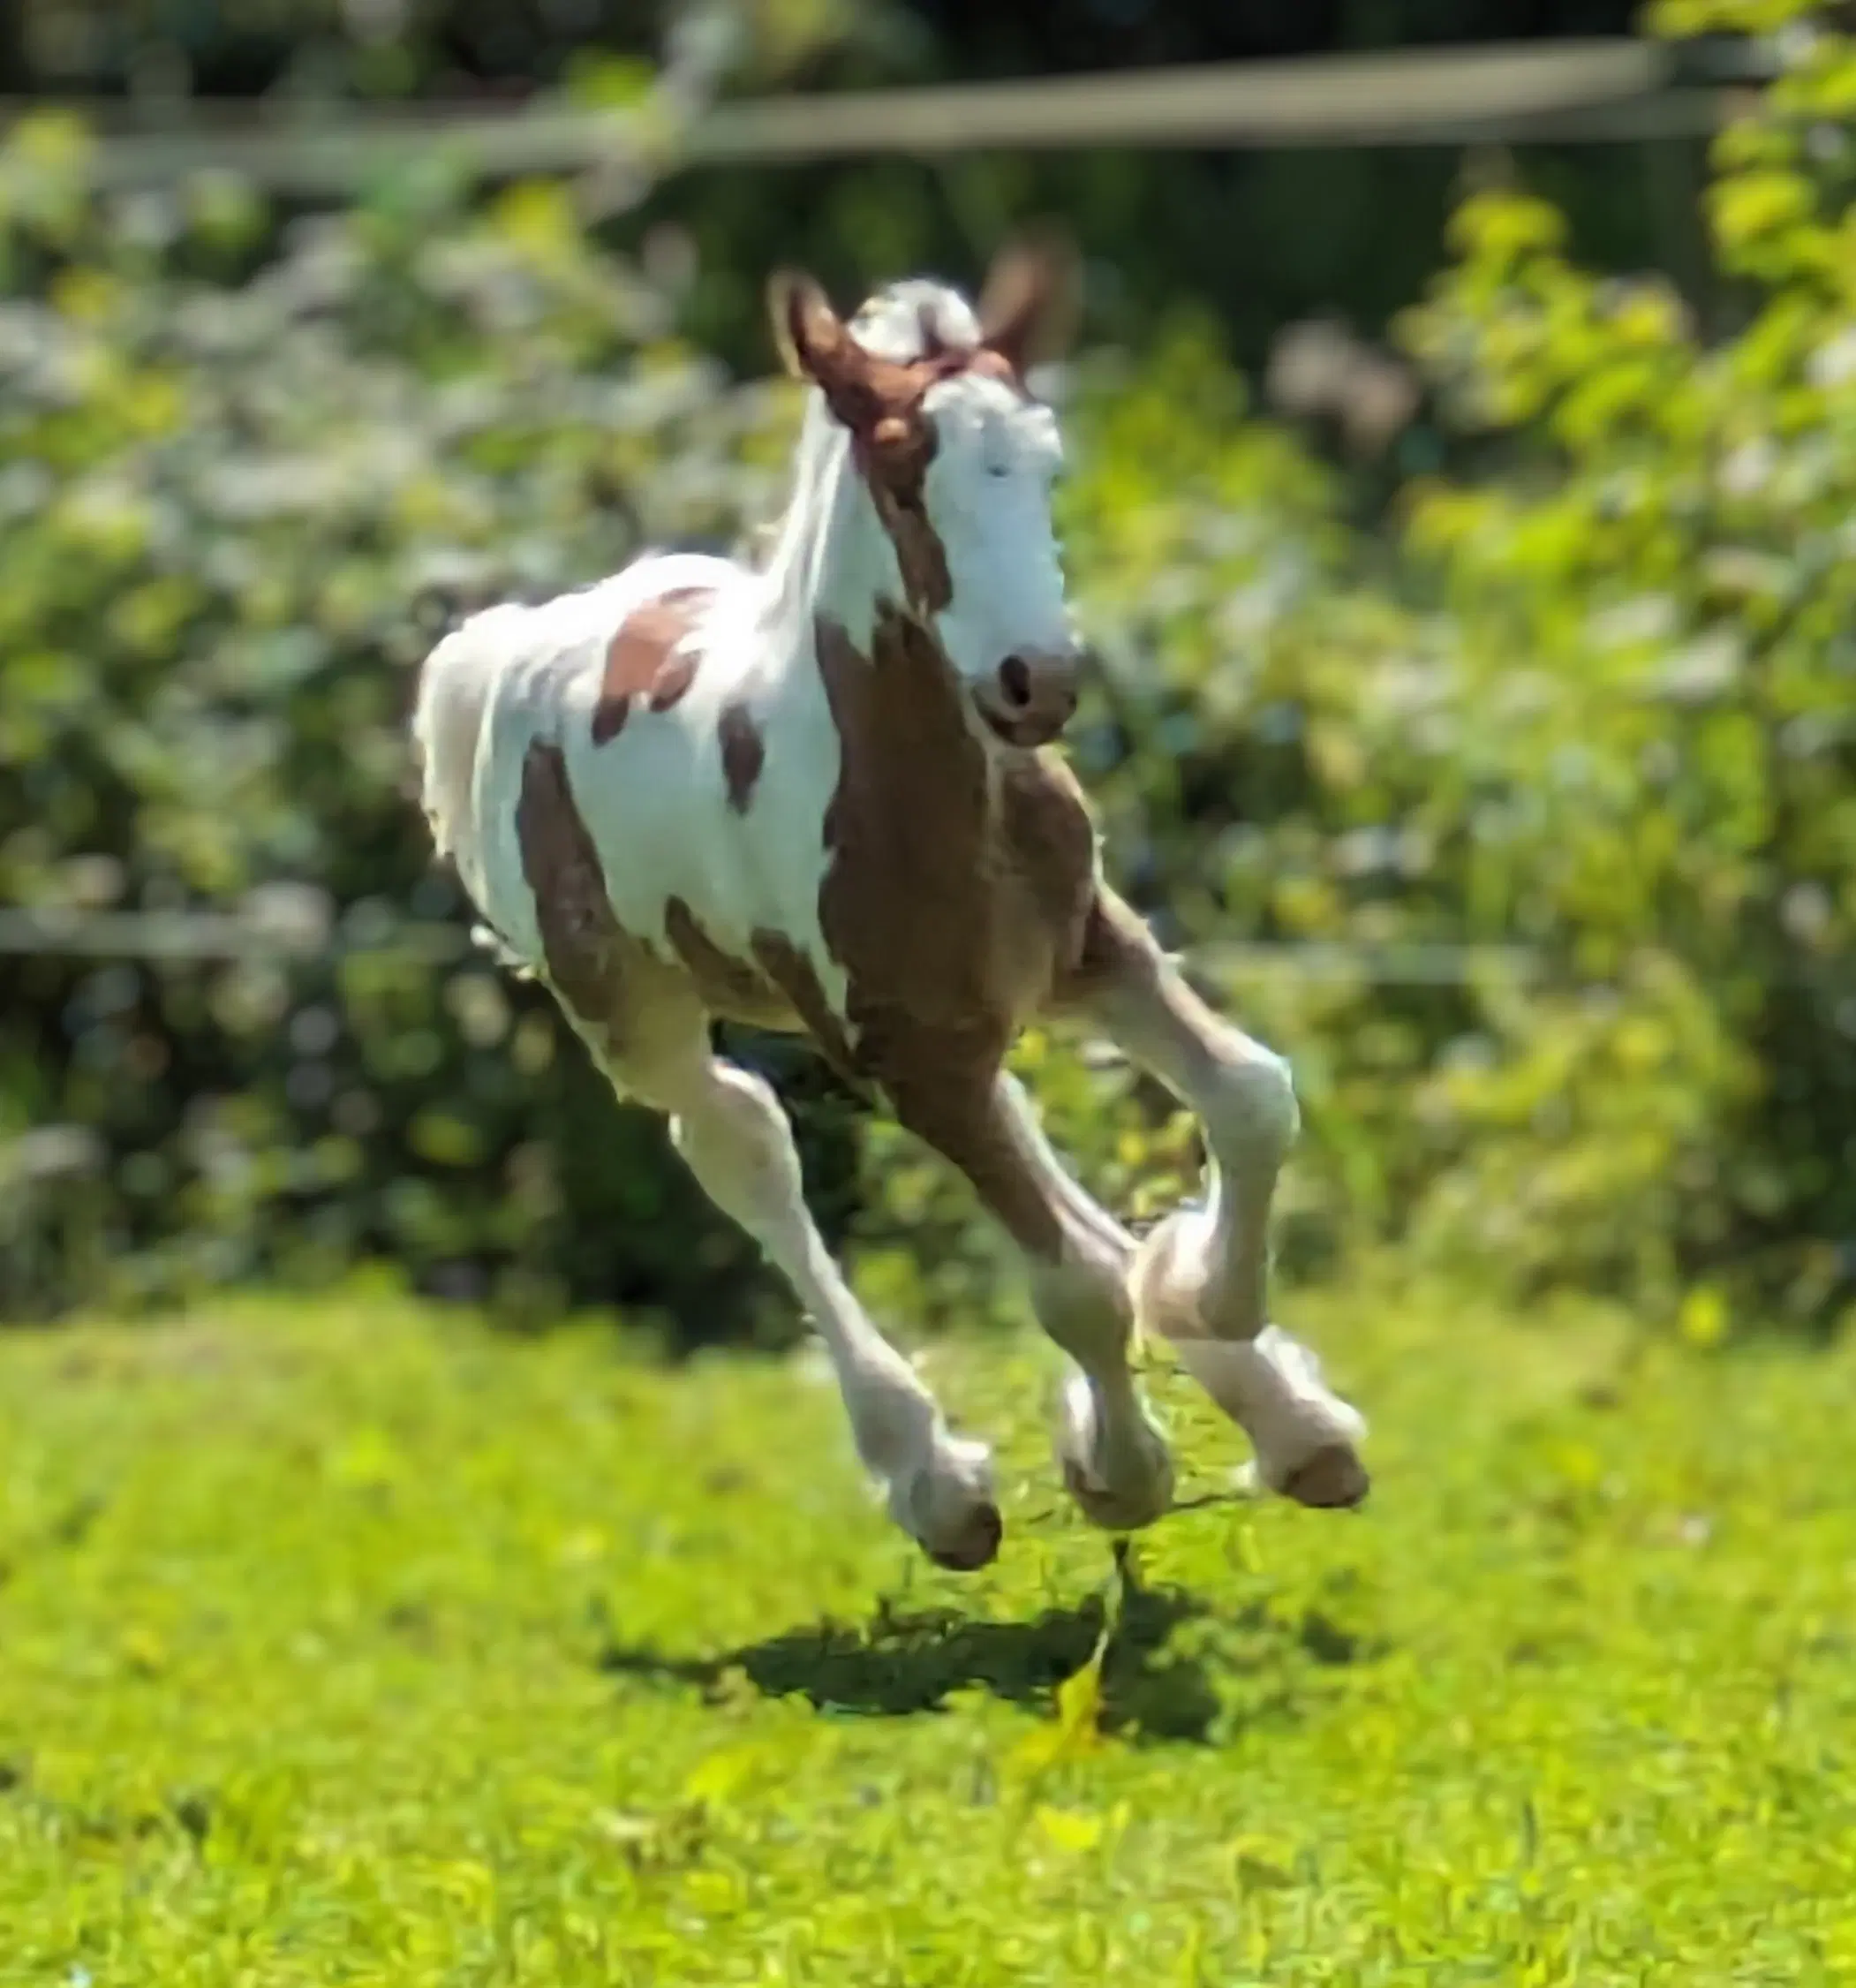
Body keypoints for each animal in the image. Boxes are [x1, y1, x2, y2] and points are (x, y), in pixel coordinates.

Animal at [413, 236, 1375, 1566]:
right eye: (906, 481)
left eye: (1046, 463)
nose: (1036, 684)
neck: (927, 806)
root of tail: (514, 645)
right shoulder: (903, 1057)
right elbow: (1070, 1286)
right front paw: (1116, 1469)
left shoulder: (1089, 951)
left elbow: (1249, 1097)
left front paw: (1205, 1300)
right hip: (631, 1011)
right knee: (738, 1144)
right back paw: (931, 1478)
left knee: (1016, 1123)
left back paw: (1279, 1410)